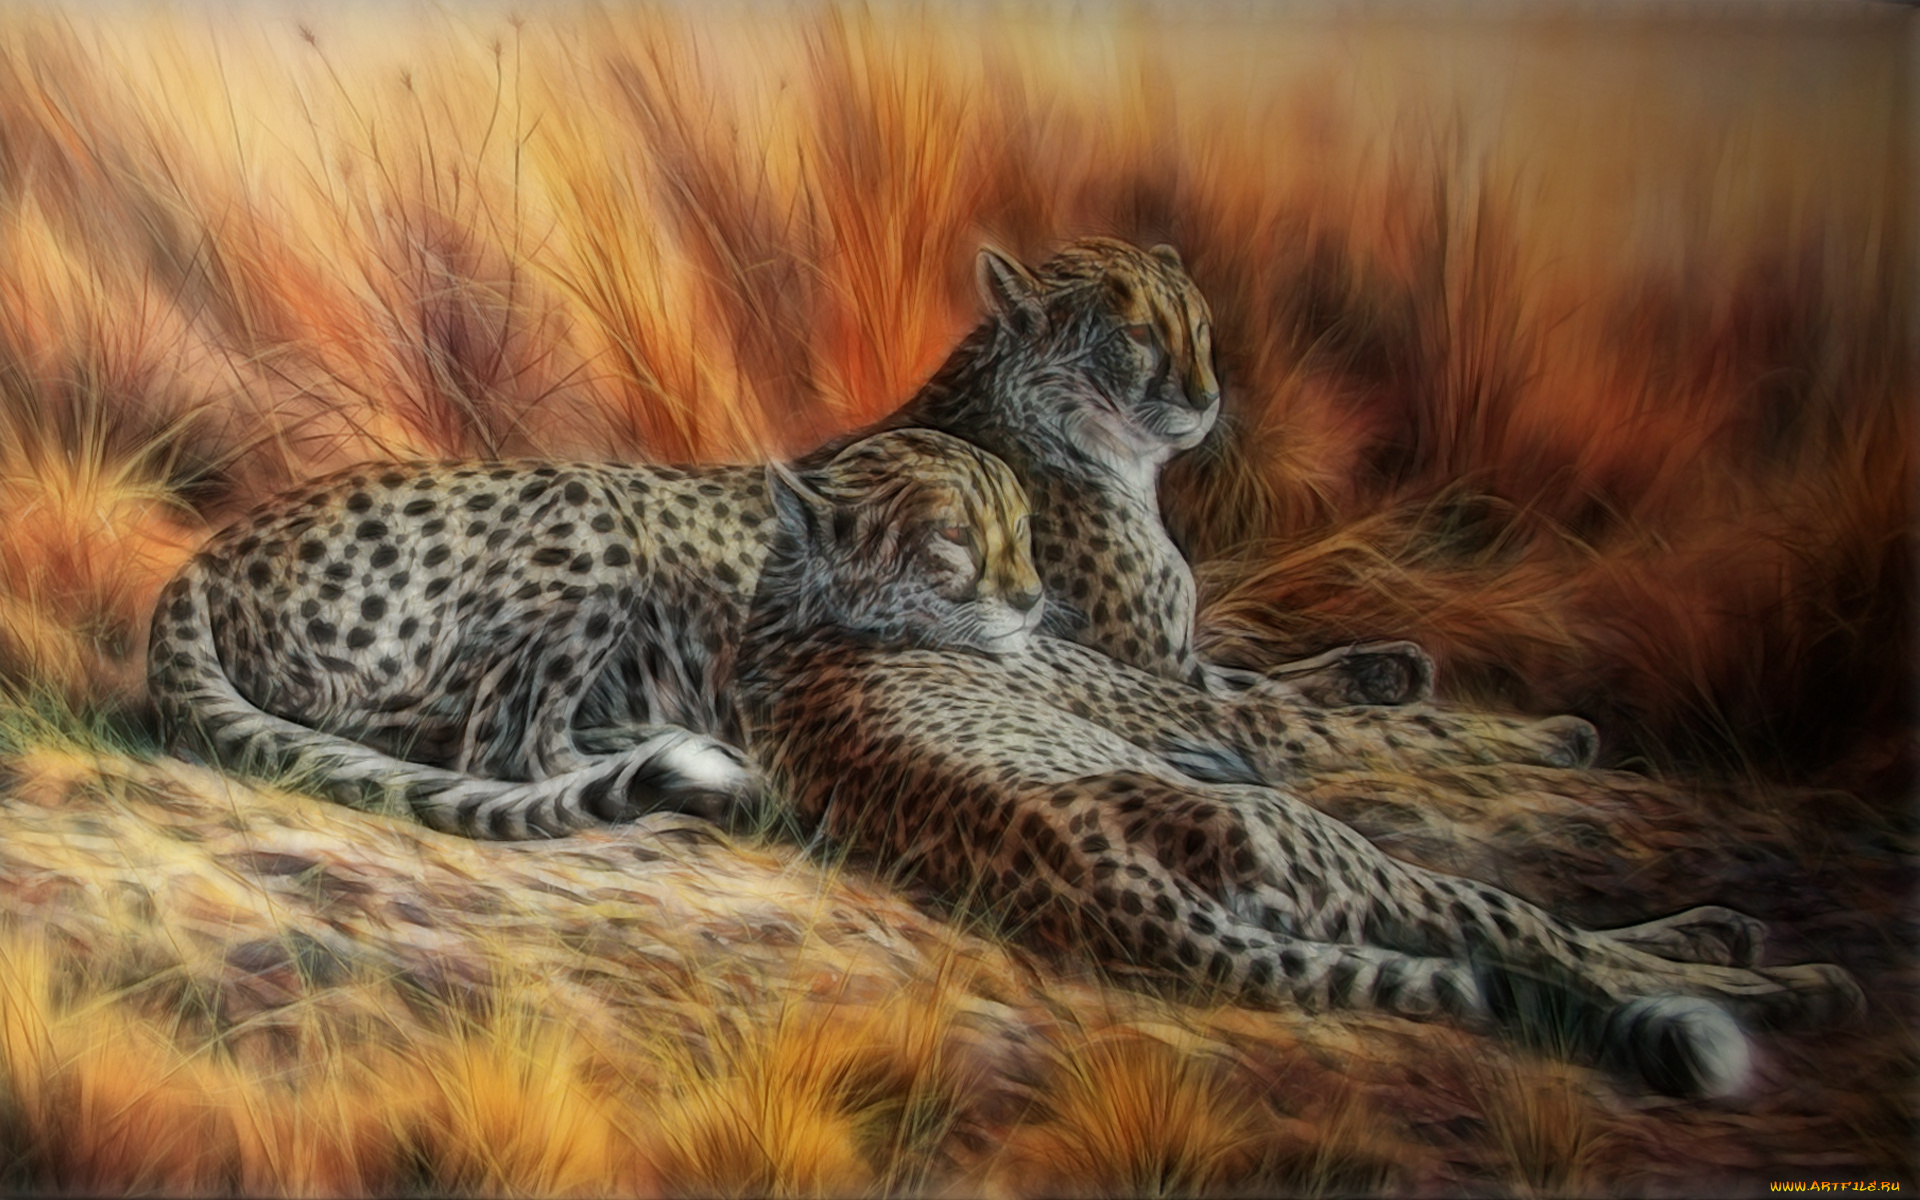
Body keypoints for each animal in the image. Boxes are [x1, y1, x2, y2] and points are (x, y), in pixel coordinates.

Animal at [738, 427, 1865, 1098]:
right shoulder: (1221, 728)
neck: (807, 597)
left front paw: (1395, 671)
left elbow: (1298, 691)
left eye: (1020, 527)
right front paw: (1553, 737)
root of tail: (1119, 900)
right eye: (953, 540)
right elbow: (1370, 732)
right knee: (1562, 944)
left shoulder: (1206, 703)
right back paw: (1780, 976)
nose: (1028, 596)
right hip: (1355, 858)